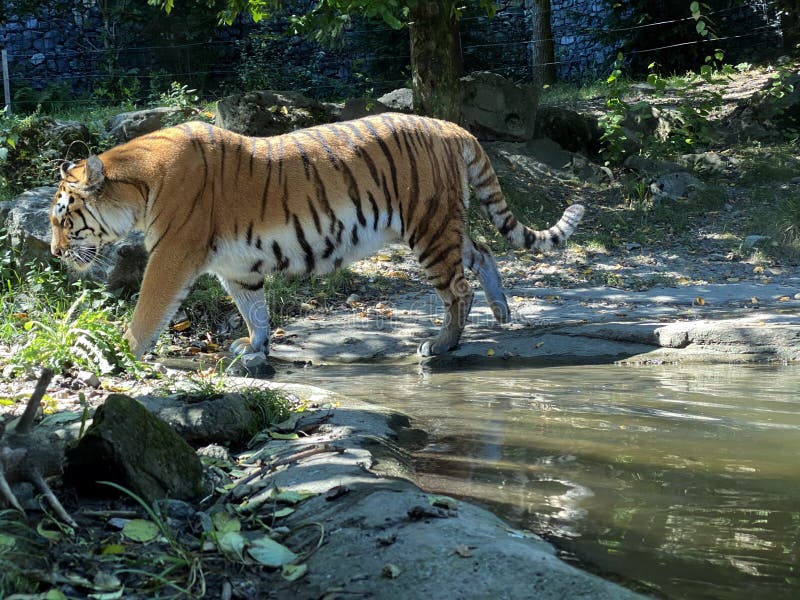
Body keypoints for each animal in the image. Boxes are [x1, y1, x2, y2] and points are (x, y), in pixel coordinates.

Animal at [51, 112, 588, 356]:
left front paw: (119, 350)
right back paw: (502, 312)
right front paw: (254, 347)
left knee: (459, 287)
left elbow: (149, 310)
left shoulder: (172, 254)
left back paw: (440, 346)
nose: (55, 254)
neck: (138, 187)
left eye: (61, 218)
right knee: (483, 252)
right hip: (442, 225)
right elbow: (253, 307)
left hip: (429, 227)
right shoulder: (234, 265)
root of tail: (451, 125)